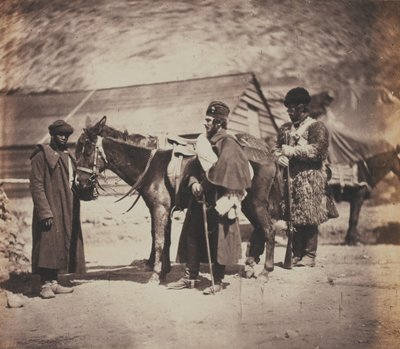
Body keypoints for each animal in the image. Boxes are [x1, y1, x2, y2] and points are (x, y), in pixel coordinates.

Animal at [76, 117, 282, 282]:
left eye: (86, 150)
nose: (80, 183)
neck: (151, 165)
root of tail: (268, 155)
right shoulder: (164, 209)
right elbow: (165, 240)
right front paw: (162, 271)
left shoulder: (159, 208)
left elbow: (158, 239)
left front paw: (154, 272)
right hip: (249, 205)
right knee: (261, 230)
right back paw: (251, 267)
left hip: (255, 204)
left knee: (269, 231)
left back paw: (265, 271)